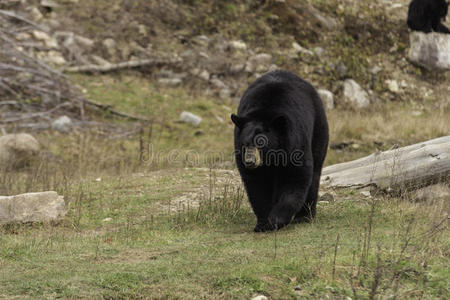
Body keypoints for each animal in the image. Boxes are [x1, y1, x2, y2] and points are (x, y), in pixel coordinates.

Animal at [230, 70, 328, 232]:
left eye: (260, 143)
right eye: (244, 143)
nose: (250, 161)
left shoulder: (294, 143)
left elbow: (295, 178)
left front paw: (275, 220)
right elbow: (257, 186)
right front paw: (262, 223)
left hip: (318, 128)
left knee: (315, 173)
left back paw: (305, 216)